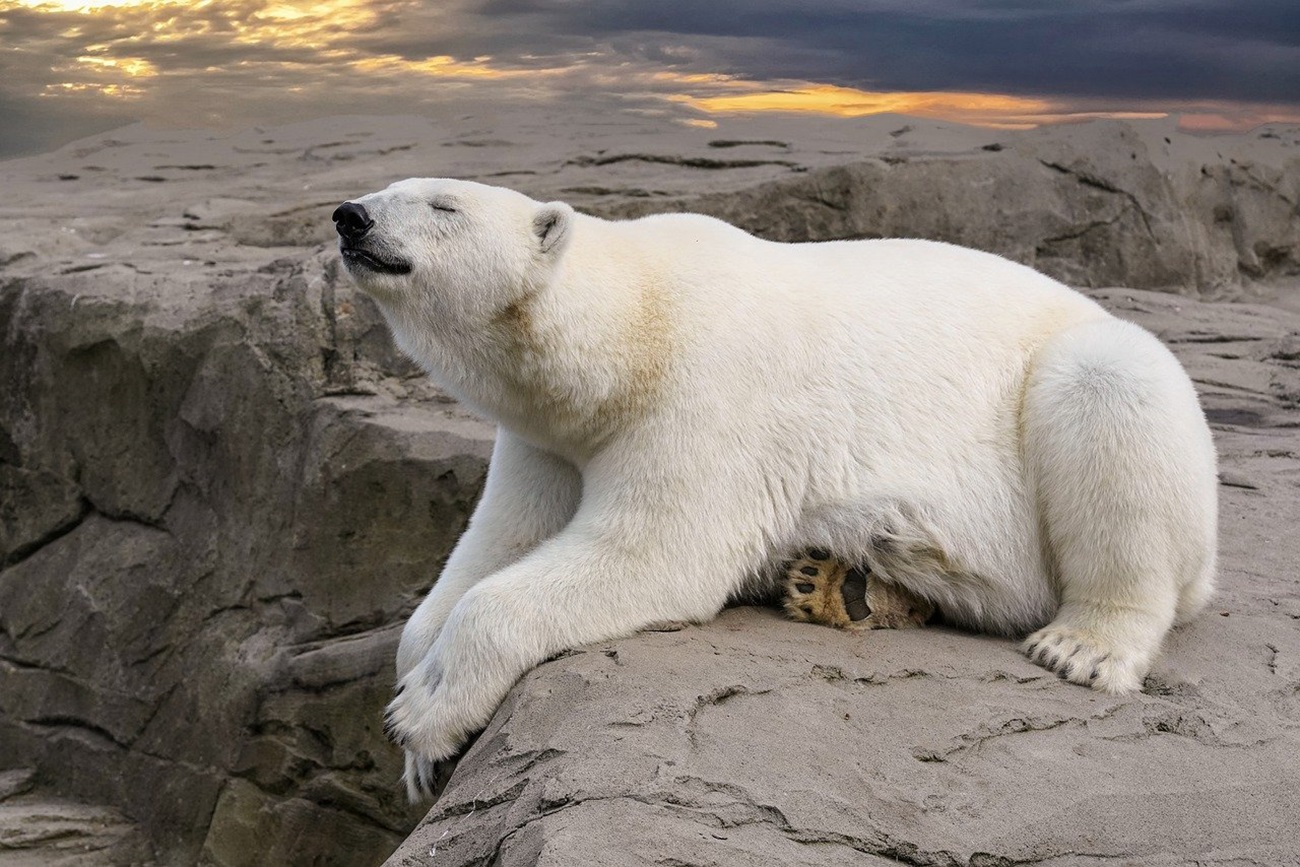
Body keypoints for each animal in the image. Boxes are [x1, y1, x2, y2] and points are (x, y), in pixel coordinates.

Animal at [332, 178, 1216, 800]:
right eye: (393, 186)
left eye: (443, 204)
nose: (351, 217)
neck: (632, 328)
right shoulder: (547, 438)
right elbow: (498, 542)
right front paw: (419, 730)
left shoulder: (709, 390)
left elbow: (654, 553)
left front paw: (425, 712)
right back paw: (840, 581)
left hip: (1085, 394)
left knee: (1109, 393)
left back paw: (1083, 643)